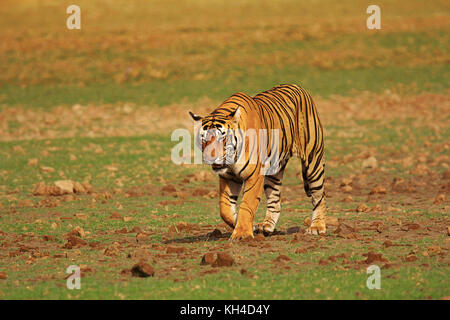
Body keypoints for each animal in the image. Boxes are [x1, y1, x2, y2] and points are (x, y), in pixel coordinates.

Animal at [188, 83, 326, 240]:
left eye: (222, 138)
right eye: (204, 139)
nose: (211, 157)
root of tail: (297, 86)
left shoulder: (253, 176)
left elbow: (247, 204)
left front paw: (242, 234)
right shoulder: (228, 177)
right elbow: (225, 209)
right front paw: (249, 226)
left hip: (313, 161)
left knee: (319, 197)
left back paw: (317, 227)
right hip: (274, 171)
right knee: (275, 200)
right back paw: (266, 227)